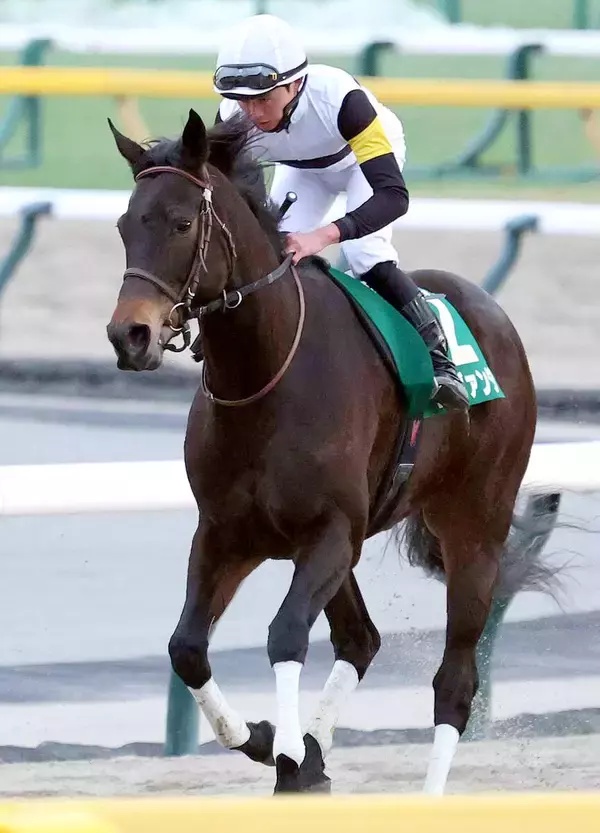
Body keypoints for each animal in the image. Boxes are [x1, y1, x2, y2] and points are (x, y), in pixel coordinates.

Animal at [106, 108, 549, 795]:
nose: (130, 335)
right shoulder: (230, 532)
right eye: (125, 226)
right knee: (360, 639)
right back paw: (313, 751)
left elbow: (286, 635)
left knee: (455, 681)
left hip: (474, 526)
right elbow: (187, 647)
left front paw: (287, 751)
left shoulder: (330, 531)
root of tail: (493, 315)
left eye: (181, 223)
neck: (268, 375)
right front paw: (273, 743)